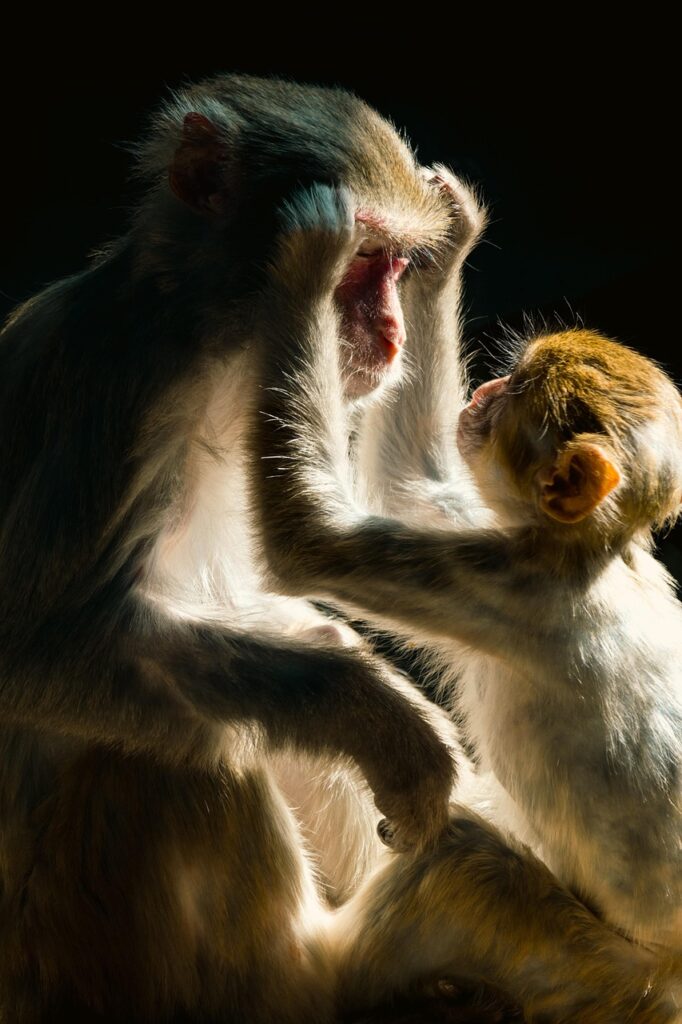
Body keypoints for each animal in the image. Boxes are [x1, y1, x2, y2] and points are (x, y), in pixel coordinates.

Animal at [252, 181, 682, 1018]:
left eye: (514, 394)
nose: (484, 391)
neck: (595, 553)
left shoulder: (511, 587)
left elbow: (307, 537)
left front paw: (308, 255)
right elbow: (408, 482)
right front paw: (449, 237)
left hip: (609, 983)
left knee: (460, 864)